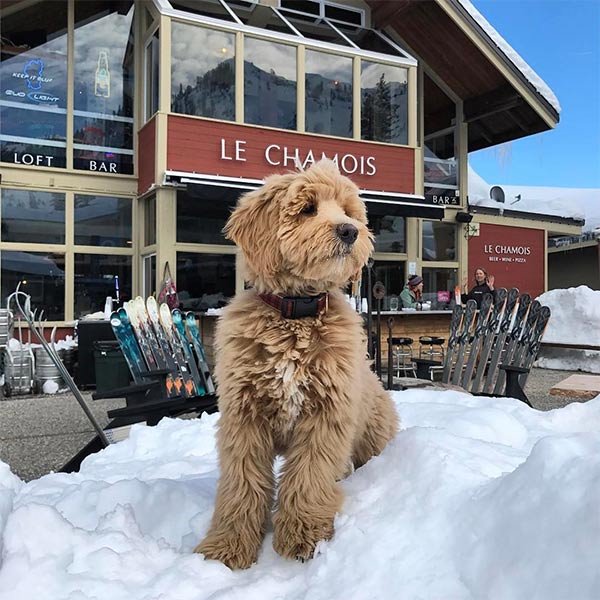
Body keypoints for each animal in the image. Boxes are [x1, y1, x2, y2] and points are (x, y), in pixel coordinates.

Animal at [197, 158, 398, 568]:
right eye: (308, 208)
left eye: (348, 210)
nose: (350, 230)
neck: (296, 313)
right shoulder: (244, 418)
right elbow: (242, 484)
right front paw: (227, 547)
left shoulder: (325, 417)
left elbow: (308, 478)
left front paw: (303, 536)